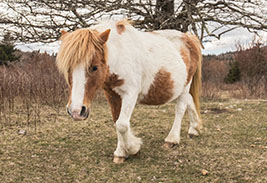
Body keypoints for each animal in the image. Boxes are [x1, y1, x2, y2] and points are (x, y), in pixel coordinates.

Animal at [56, 19, 203, 163]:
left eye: (94, 67)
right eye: (68, 68)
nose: (76, 112)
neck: (119, 55)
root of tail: (189, 37)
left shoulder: (130, 93)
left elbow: (121, 124)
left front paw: (133, 148)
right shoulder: (112, 94)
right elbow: (116, 121)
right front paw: (121, 153)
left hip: (185, 86)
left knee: (181, 108)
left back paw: (172, 139)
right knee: (190, 100)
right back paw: (194, 129)